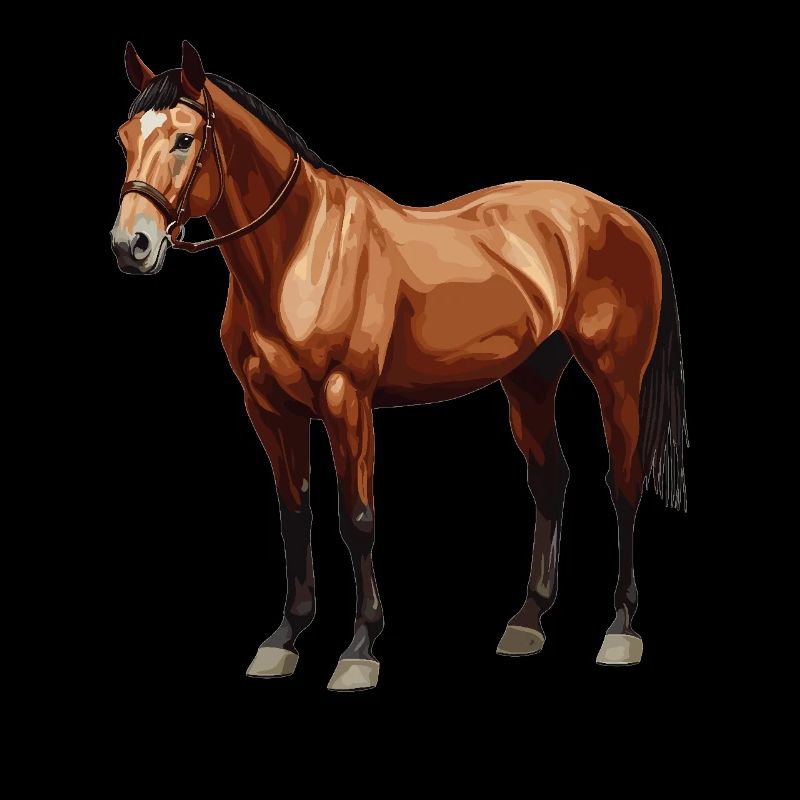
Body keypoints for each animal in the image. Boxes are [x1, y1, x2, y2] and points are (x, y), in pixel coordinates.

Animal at [111, 41, 687, 691]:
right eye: (124, 138)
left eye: (185, 139)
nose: (131, 246)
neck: (300, 251)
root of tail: (621, 215)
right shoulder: (268, 410)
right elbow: (294, 515)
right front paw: (284, 639)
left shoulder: (347, 400)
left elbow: (357, 519)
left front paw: (359, 649)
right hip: (530, 379)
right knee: (550, 479)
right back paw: (526, 622)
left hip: (618, 381)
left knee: (623, 484)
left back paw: (620, 629)